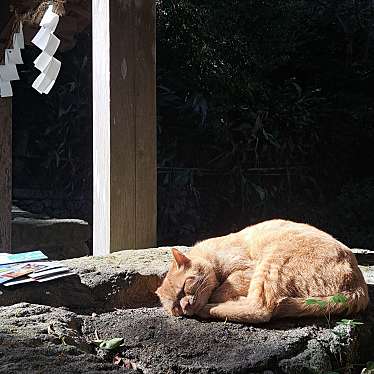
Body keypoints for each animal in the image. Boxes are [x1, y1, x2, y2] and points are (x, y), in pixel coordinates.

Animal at [156, 221, 368, 322]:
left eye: (183, 289)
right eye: (174, 307)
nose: (184, 306)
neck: (211, 254)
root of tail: (359, 288)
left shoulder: (247, 271)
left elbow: (222, 288)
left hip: (272, 263)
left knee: (261, 310)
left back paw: (211, 308)